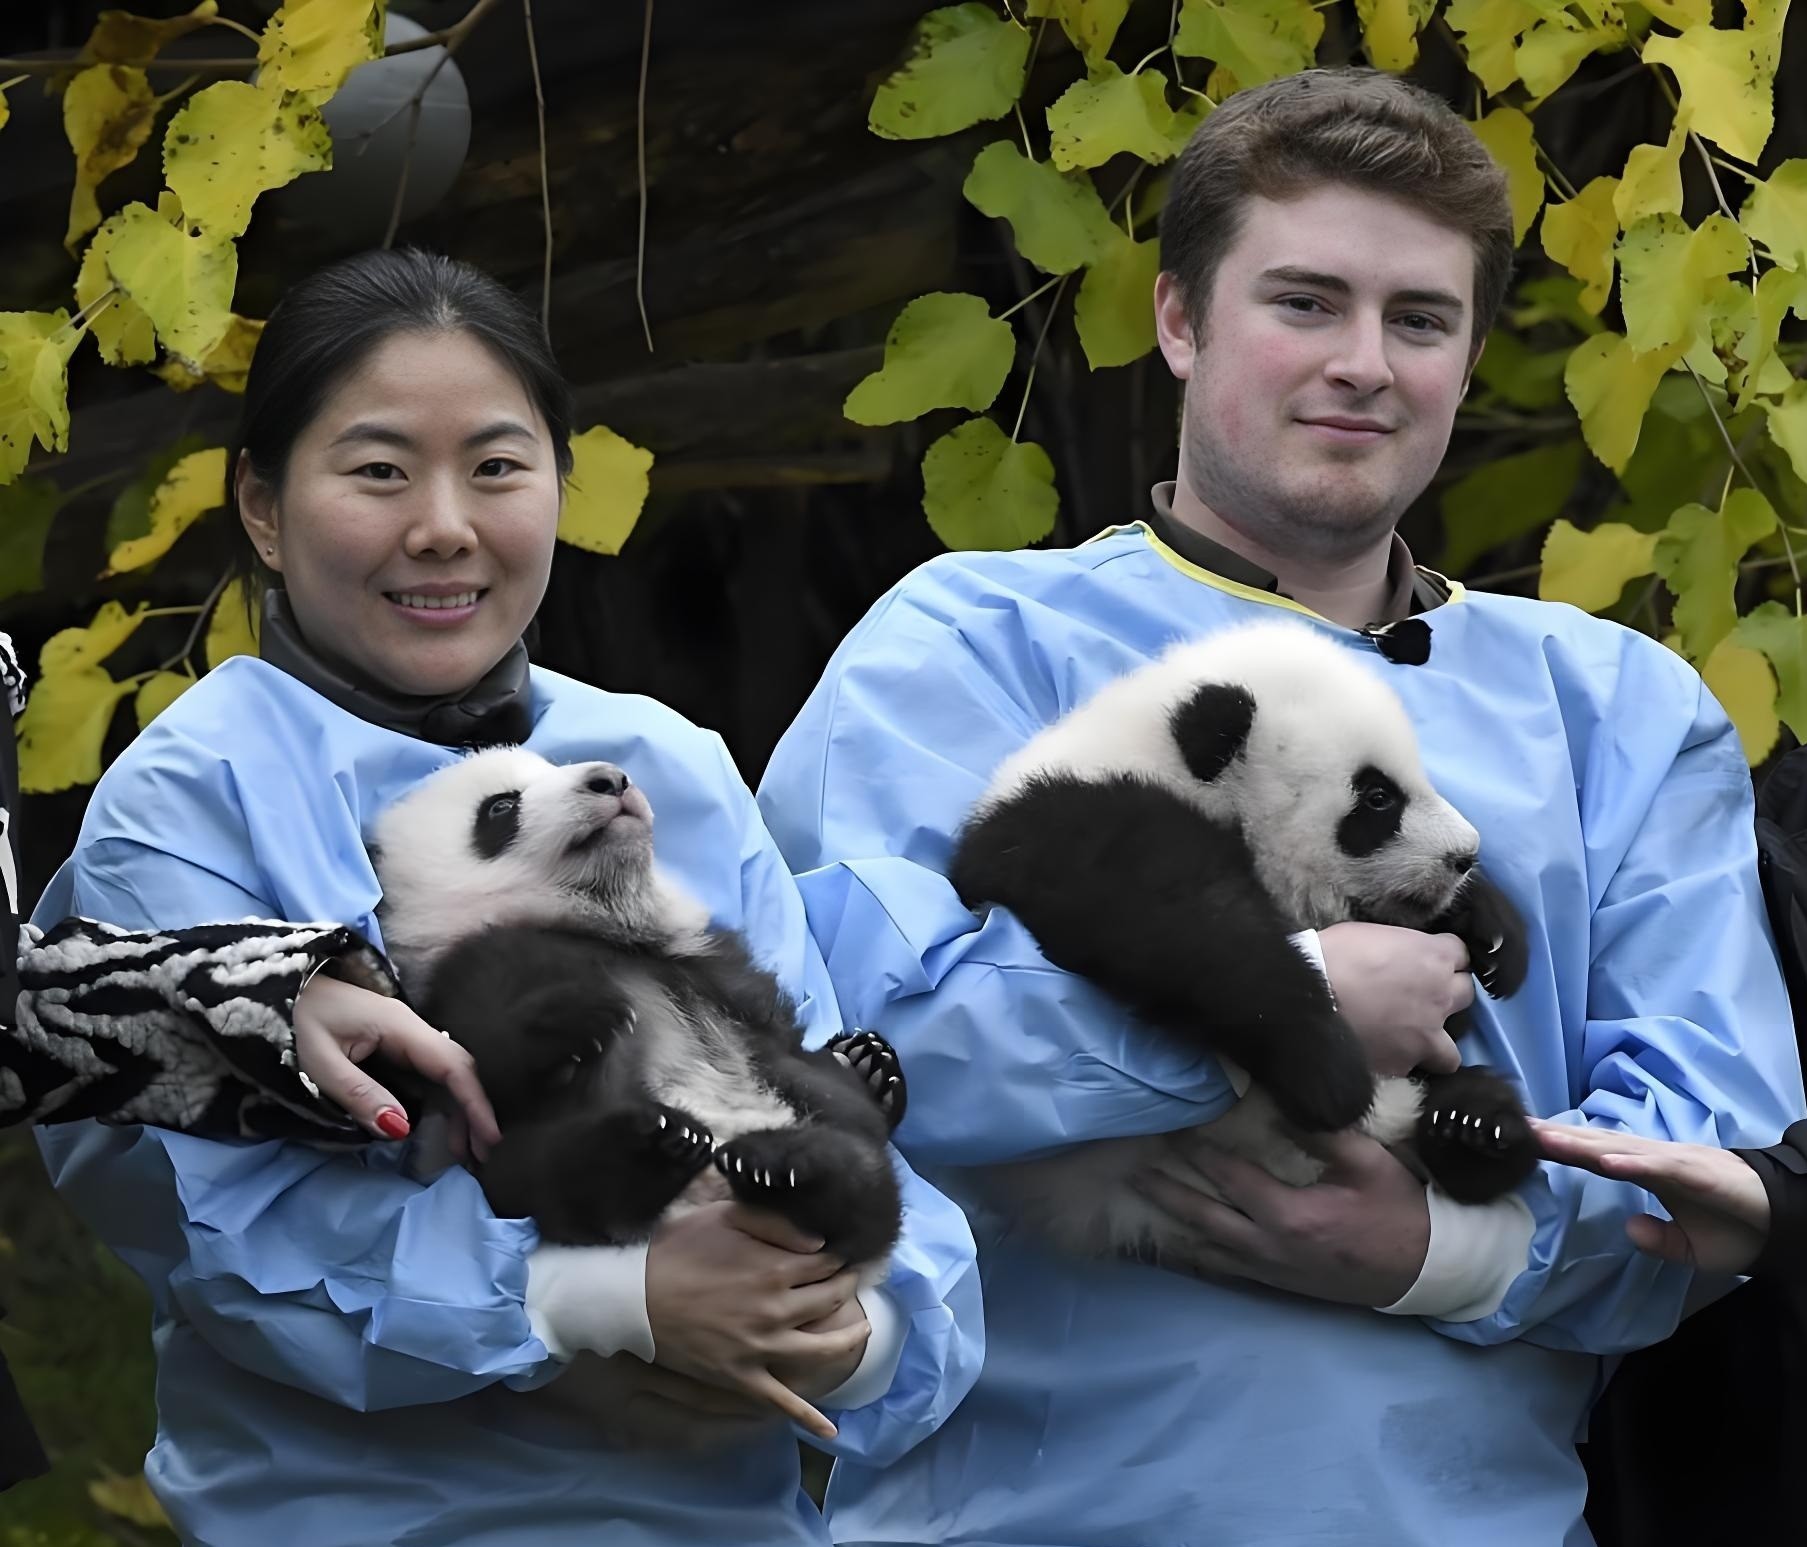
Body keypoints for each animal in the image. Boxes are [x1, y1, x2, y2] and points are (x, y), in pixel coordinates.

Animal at [369, 746, 903, 1276]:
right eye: (500, 806)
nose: (610, 779)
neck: (595, 925)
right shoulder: (466, 969)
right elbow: (479, 1057)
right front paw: (580, 1016)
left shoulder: (717, 972)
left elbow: (806, 1064)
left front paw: (858, 1072)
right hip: (511, 1171)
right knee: (550, 1177)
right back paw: (653, 1145)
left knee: (867, 1191)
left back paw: (785, 1158)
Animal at [948, 618, 1538, 1261]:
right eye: (1379, 798)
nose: (1465, 855)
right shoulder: (1070, 822)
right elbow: (1180, 924)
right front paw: (1330, 1074)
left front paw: (1491, 934)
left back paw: (1477, 1127)